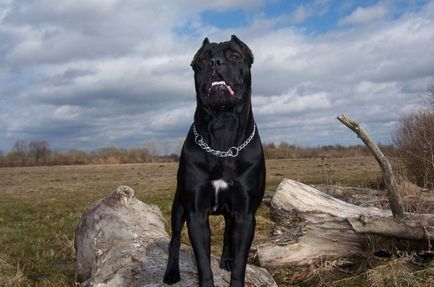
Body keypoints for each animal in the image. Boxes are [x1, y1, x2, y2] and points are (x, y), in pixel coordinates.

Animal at [163, 35, 264, 287]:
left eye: (235, 55)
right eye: (201, 59)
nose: (215, 62)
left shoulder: (245, 214)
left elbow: (240, 264)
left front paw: (233, 268)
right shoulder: (196, 213)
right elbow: (202, 263)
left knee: (228, 233)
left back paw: (226, 258)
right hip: (178, 208)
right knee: (175, 240)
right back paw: (171, 272)